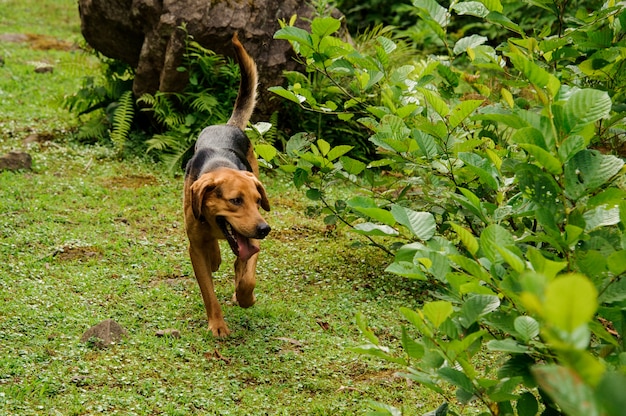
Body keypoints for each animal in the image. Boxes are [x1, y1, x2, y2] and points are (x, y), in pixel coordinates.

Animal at [180, 33, 268, 338]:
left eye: (257, 201)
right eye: (235, 200)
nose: (265, 229)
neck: (219, 165)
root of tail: (228, 125)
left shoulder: (251, 238)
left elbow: (247, 278)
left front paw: (245, 297)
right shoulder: (195, 248)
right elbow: (208, 291)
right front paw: (217, 325)